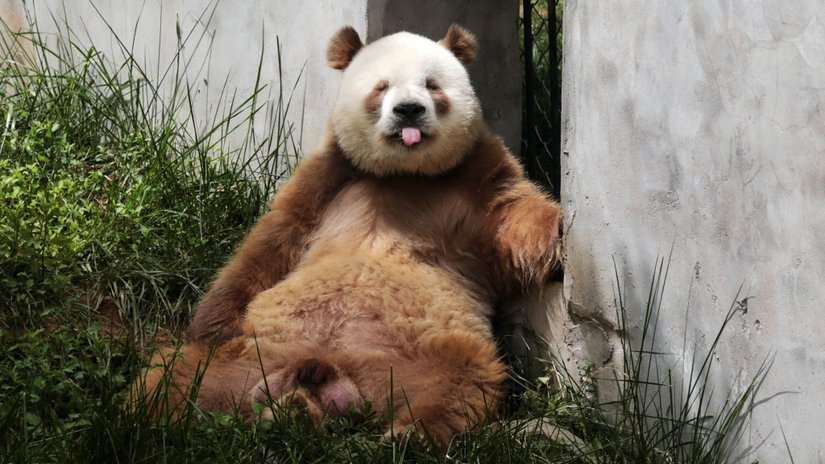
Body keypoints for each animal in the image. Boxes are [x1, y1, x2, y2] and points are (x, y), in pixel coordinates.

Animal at [137, 24, 562, 448]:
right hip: (250, 355)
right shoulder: (329, 174)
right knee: (173, 378)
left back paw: (405, 435)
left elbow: (515, 223)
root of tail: (339, 377)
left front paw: (561, 229)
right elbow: (271, 242)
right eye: (382, 86)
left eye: (432, 85)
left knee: (463, 380)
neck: (403, 174)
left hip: (421, 355)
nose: (409, 110)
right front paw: (207, 326)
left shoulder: (476, 177)